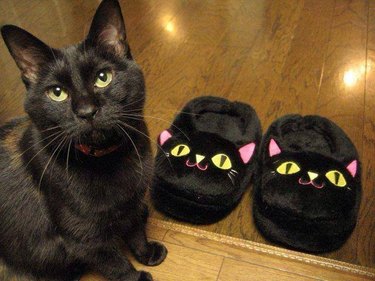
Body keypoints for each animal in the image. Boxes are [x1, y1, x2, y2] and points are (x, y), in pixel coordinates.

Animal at [0, 0, 167, 280]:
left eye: (103, 77)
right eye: (57, 93)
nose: (87, 111)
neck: (108, 159)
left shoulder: (131, 203)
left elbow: (134, 229)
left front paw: (146, 253)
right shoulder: (83, 239)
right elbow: (114, 263)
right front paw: (136, 275)